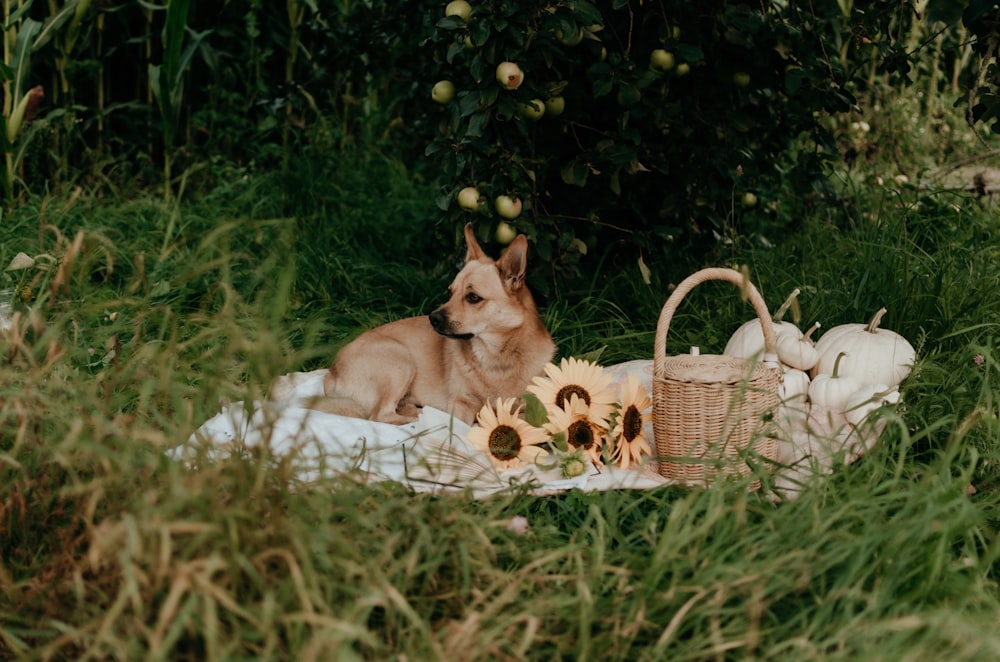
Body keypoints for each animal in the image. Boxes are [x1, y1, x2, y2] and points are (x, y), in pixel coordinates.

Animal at [320, 223, 556, 426]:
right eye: (450, 292)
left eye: (473, 297)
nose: (432, 318)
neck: (497, 358)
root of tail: (332, 372)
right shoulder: (462, 404)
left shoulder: (530, 408)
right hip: (400, 360)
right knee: (381, 415)